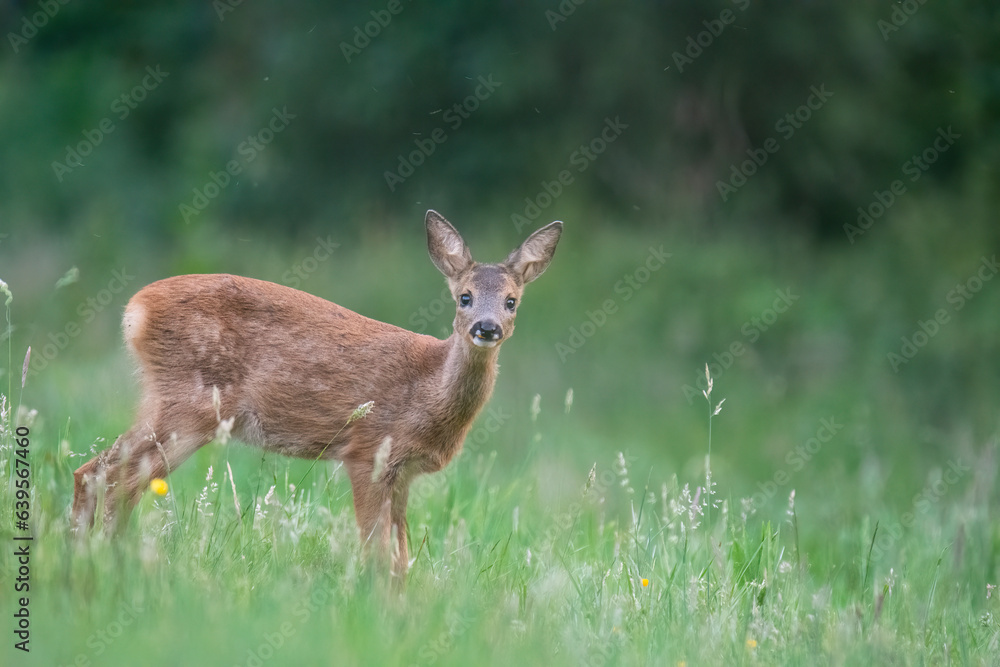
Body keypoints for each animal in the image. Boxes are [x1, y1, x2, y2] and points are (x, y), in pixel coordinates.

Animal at [71, 210, 562, 577]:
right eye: (464, 297)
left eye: (512, 301)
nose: (487, 327)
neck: (428, 390)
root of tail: (135, 310)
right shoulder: (367, 451)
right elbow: (377, 553)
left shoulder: (402, 473)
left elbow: (402, 558)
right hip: (188, 404)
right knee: (113, 477)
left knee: (100, 473)